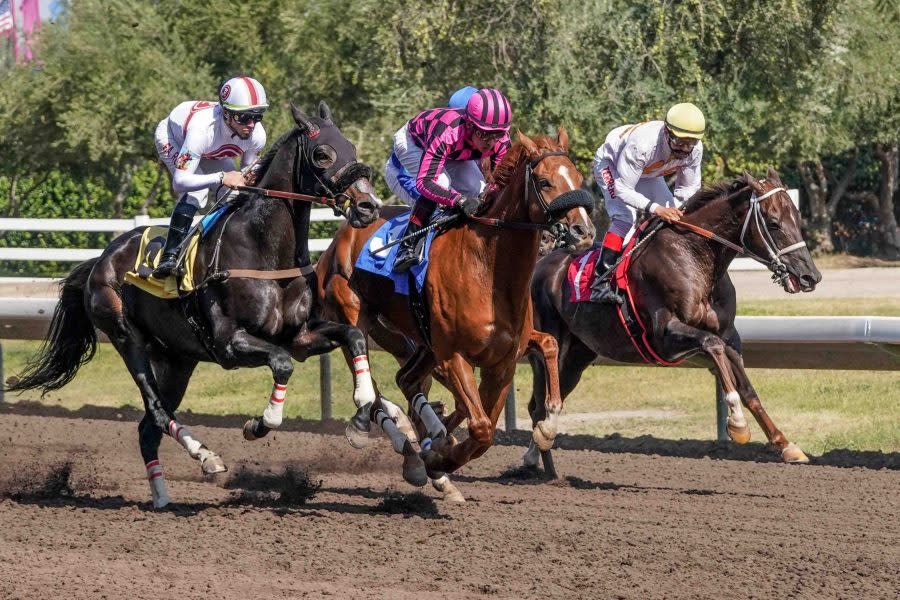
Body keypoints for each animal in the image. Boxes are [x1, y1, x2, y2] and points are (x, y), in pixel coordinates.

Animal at [7, 102, 382, 506]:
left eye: (351, 149)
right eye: (322, 154)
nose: (368, 205)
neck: (264, 250)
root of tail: (100, 260)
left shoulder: (299, 336)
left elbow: (354, 336)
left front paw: (361, 415)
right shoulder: (230, 343)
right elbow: (282, 366)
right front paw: (258, 424)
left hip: (177, 359)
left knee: (147, 429)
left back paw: (162, 497)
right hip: (127, 339)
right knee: (156, 413)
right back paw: (206, 457)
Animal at [318, 131, 596, 502]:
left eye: (577, 178)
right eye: (544, 181)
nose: (583, 232)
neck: (487, 270)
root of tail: (339, 239)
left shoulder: (502, 362)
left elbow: (488, 425)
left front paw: (545, 426)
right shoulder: (453, 356)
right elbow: (480, 427)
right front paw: (438, 459)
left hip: (415, 340)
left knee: (406, 380)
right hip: (357, 319)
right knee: (370, 382)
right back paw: (383, 435)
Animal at [528, 169, 824, 474]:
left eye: (797, 217)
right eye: (774, 224)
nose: (810, 276)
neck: (694, 257)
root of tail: (541, 264)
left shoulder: (730, 335)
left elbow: (748, 389)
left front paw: (786, 445)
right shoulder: (664, 336)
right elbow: (712, 345)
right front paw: (737, 423)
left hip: (579, 355)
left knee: (545, 399)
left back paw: (542, 457)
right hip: (553, 344)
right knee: (542, 401)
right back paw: (544, 441)